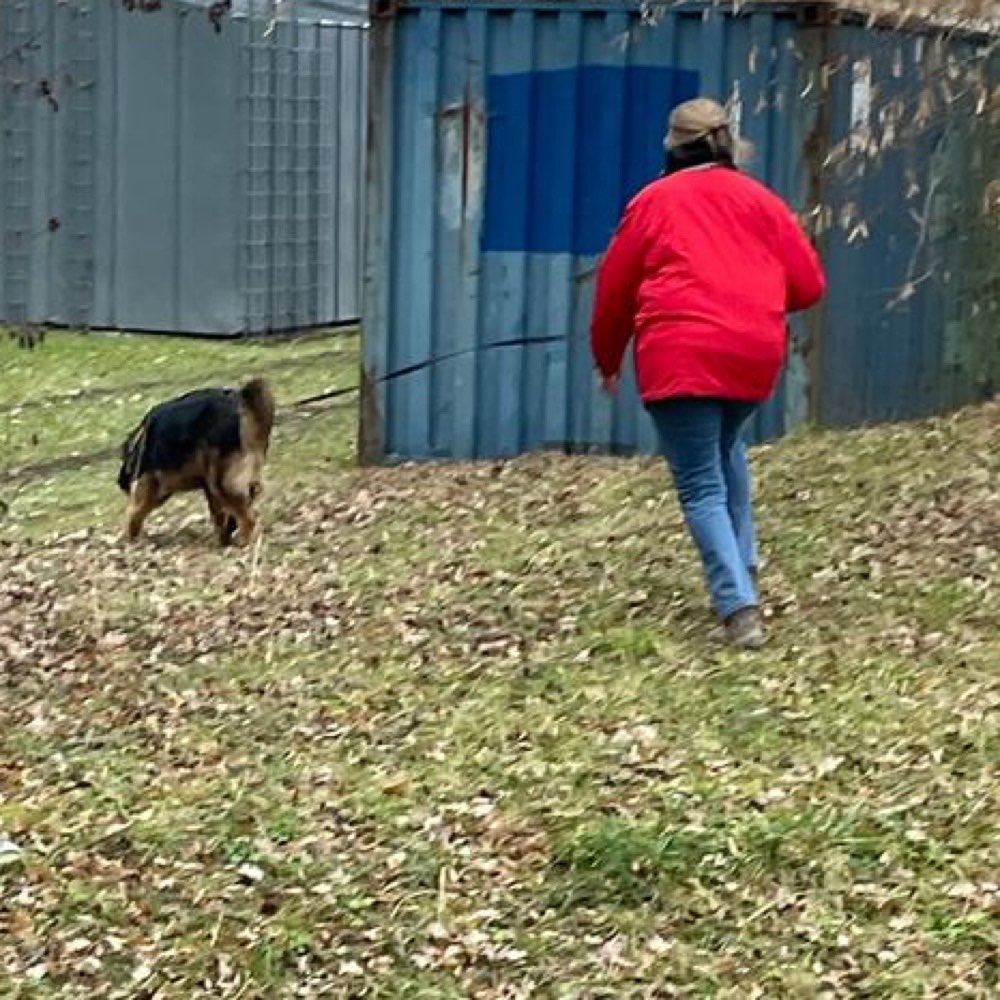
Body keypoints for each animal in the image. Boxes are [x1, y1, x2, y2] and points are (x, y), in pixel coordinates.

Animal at [118, 376, 276, 548]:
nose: (120, 482)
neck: (138, 444)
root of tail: (243, 404)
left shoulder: (150, 485)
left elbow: (133, 513)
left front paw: (130, 539)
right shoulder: (208, 486)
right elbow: (219, 516)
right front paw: (223, 539)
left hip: (222, 484)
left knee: (249, 518)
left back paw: (244, 541)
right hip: (232, 480)